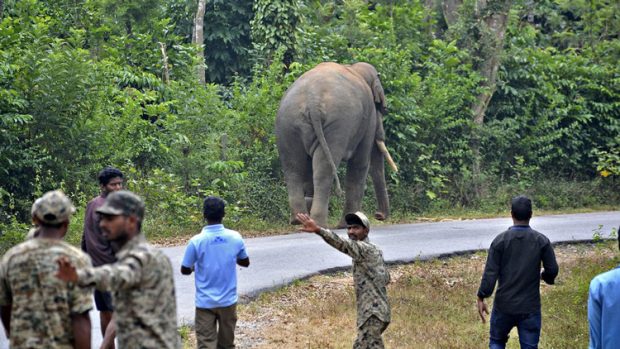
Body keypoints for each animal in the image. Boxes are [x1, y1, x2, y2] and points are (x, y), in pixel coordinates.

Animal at [274, 61, 398, 227]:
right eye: (380, 107)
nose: (378, 215)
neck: (354, 68)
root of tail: (312, 100)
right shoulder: (369, 116)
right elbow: (360, 163)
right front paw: (346, 224)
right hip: (337, 125)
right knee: (324, 170)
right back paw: (318, 223)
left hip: (287, 124)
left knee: (292, 168)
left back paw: (298, 219)